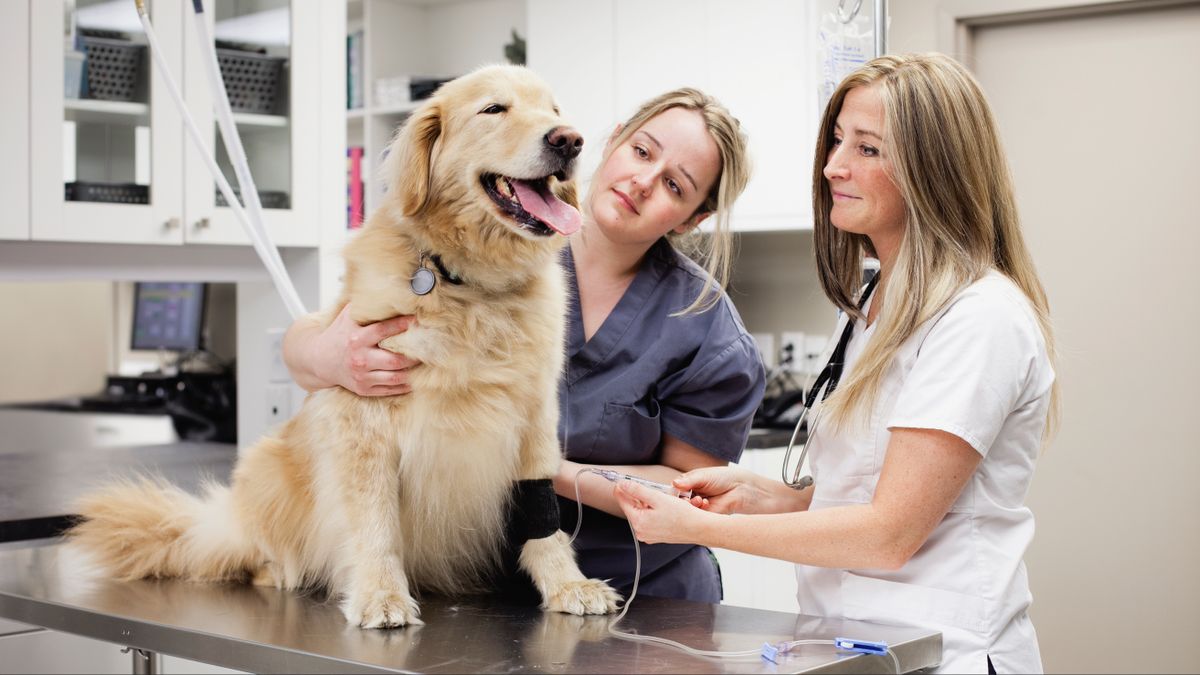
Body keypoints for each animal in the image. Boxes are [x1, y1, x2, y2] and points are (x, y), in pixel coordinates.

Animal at [68, 64, 619, 624]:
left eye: (553, 110)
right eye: (494, 109)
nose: (568, 140)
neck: (467, 283)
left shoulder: (533, 416)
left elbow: (543, 516)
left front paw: (566, 583)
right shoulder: (363, 419)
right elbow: (373, 518)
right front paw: (381, 594)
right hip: (267, 466)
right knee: (250, 547)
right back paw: (277, 570)